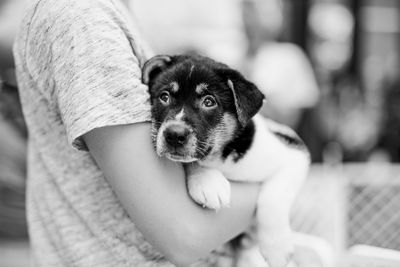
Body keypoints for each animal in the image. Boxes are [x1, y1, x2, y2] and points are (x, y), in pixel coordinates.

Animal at [141, 55, 310, 267]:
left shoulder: (293, 154)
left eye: (209, 101)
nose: (173, 135)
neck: (221, 158)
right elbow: (191, 162)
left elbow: (274, 198)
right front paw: (208, 183)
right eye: (164, 97)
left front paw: (276, 247)